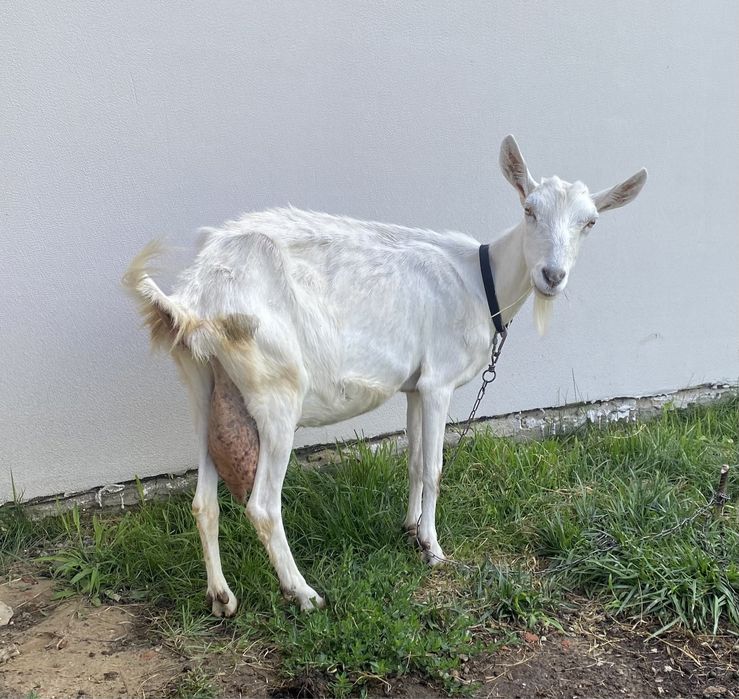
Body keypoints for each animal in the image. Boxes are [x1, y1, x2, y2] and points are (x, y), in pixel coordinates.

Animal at [123, 136, 646, 615]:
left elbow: (413, 461)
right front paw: (433, 548)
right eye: (529, 209)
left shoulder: (414, 386)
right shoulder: (438, 382)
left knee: (203, 502)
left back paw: (222, 597)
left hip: (204, 388)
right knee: (262, 505)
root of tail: (195, 299)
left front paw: (410, 529)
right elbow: (434, 467)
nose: (552, 276)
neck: (482, 284)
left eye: (590, 222)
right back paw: (303, 593)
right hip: (276, 391)